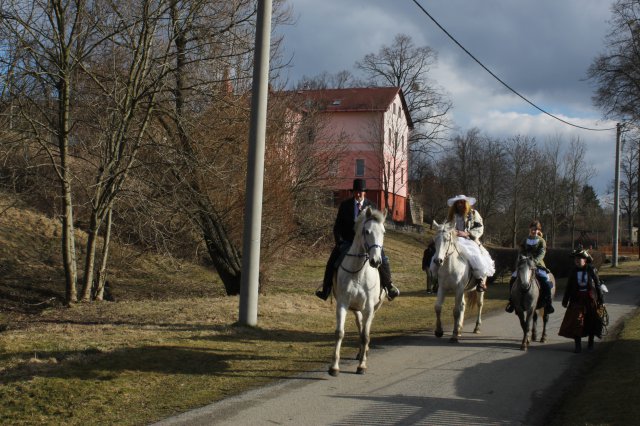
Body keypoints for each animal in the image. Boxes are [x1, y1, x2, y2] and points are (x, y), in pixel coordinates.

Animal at [330, 207, 384, 376]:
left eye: (383, 232)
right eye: (367, 231)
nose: (376, 261)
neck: (358, 272)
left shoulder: (369, 307)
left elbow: (365, 336)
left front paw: (362, 366)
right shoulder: (342, 304)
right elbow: (339, 333)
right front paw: (334, 367)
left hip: (372, 308)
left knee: (365, 329)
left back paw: (364, 353)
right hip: (356, 308)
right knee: (359, 324)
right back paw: (361, 352)